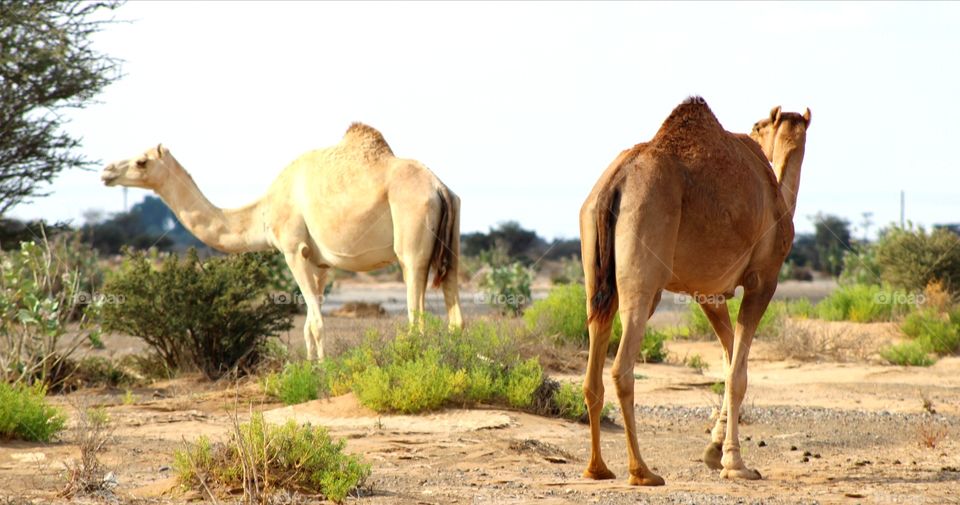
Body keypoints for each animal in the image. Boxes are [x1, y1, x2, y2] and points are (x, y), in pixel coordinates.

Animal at [101, 123, 463, 360]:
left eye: (142, 161)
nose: (106, 171)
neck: (263, 209)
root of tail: (439, 188)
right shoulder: (321, 263)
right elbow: (309, 325)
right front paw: (313, 367)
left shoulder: (293, 250)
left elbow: (315, 323)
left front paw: (321, 375)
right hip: (453, 241)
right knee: (455, 314)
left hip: (411, 245)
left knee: (416, 315)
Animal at [579, 98, 810, 485]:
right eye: (758, 126)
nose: (754, 131)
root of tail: (617, 180)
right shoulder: (763, 278)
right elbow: (737, 374)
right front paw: (735, 464)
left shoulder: (708, 293)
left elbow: (731, 359)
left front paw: (715, 451)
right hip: (644, 268)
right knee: (622, 367)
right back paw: (643, 472)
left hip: (596, 274)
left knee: (594, 357)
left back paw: (598, 468)